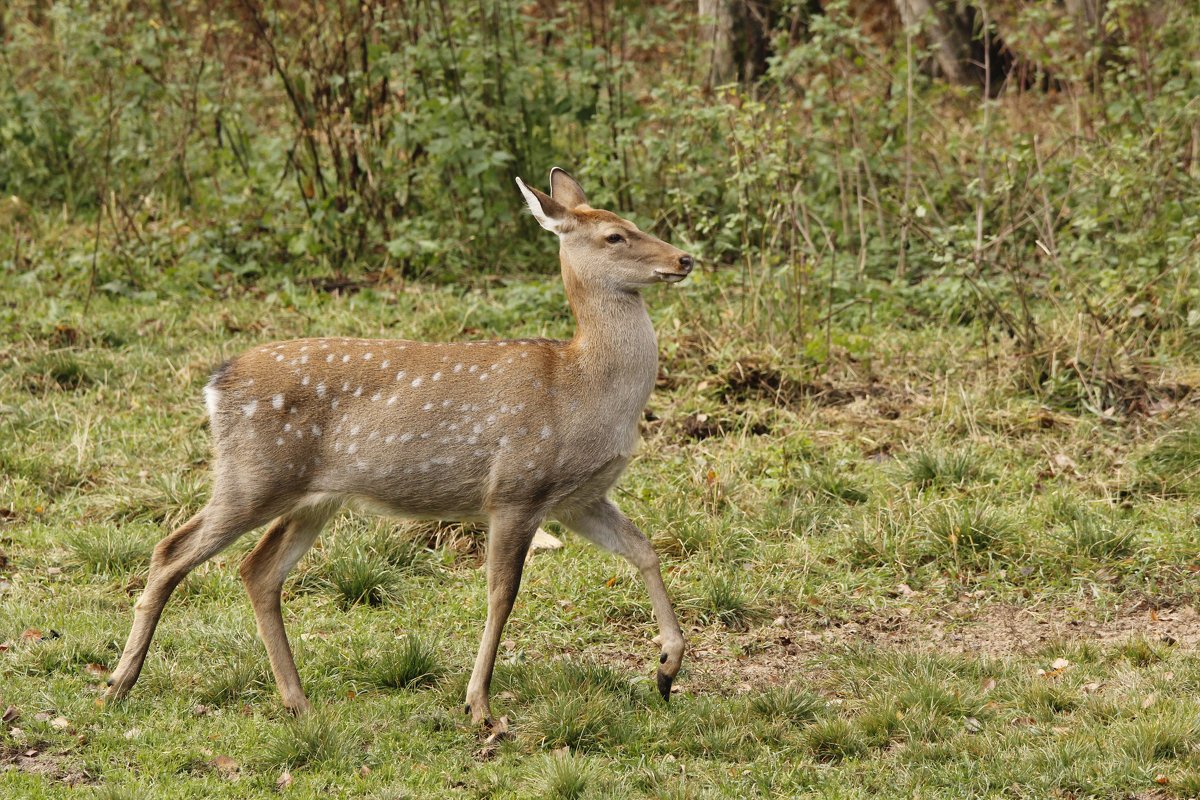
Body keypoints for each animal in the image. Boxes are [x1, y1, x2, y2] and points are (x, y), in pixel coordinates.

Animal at [109, 169, 700, 724]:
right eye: (614, 236)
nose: (685, 258)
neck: (584, 388)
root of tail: (216, 383)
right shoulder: (516, 486)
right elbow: (501, 595)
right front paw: (480, 707)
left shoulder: (578, 498)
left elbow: (645, 549)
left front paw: (667, 668)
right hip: (253, 475)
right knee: (172, 549)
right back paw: (119, 682)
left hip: (313, 496)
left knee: (258, 571)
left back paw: (296, 701)